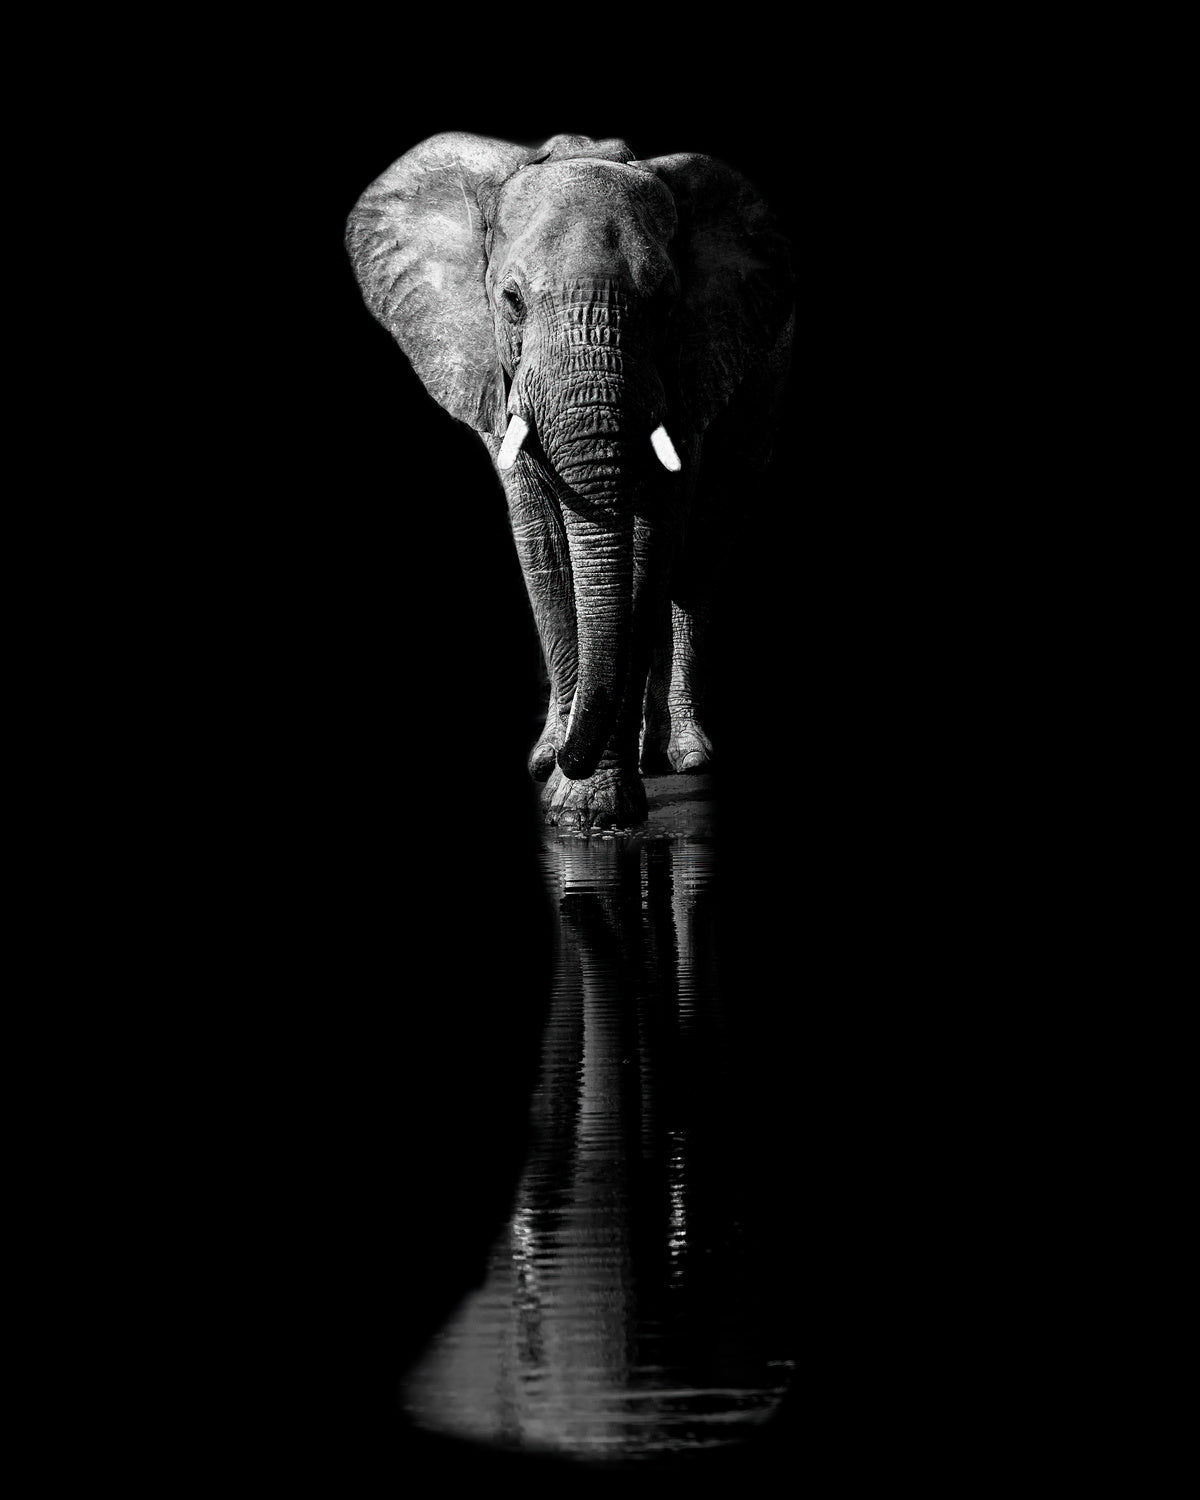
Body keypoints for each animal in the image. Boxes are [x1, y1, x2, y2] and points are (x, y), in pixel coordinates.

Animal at [345, 131, 793, 830]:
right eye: (512, 301)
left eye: (666, 304)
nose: (557, 761)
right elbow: (545, 544)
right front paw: (560, 777)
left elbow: (651, 543)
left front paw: (591, 810)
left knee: (700, 554)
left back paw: (681, 756)